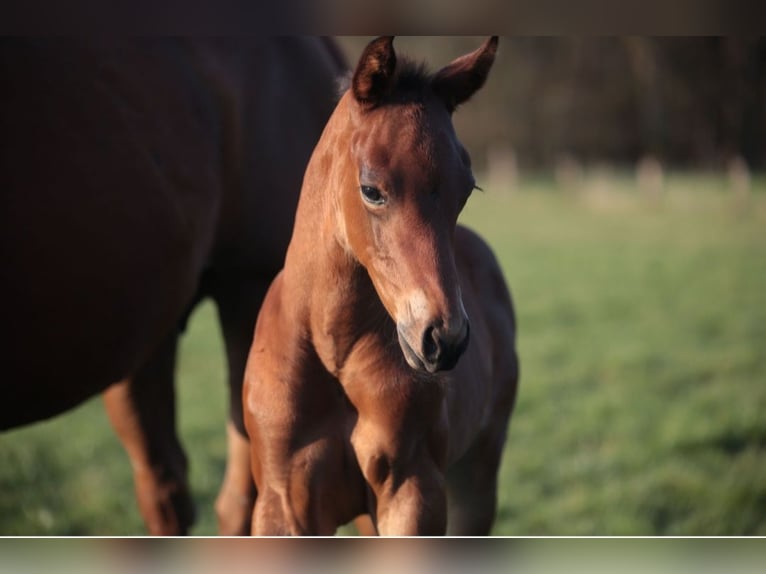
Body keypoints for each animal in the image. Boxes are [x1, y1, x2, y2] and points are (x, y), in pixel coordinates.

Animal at [243, 36, 519, 536]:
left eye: (467, 190)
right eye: (371, 189)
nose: (443, 338)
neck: (332, 351)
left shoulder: (411, 490)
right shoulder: (281, 501)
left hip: (478, 475)